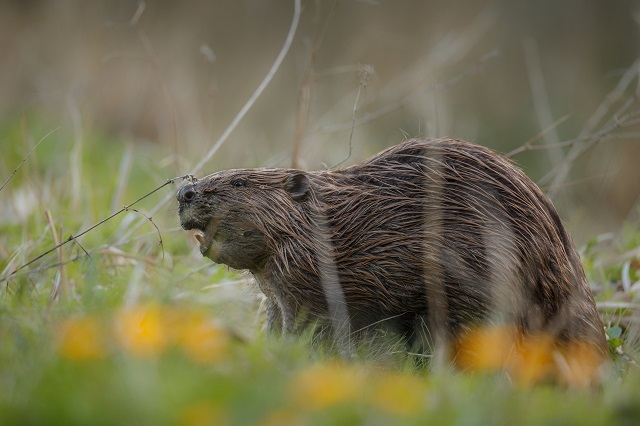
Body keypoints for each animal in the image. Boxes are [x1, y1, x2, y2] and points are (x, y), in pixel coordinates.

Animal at [178, 139, 608, 360]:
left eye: (238, 183)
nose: (184, 192)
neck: (328, 225)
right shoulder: (279, 290)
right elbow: (278, 322)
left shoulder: (317, 282)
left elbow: (317, 328)